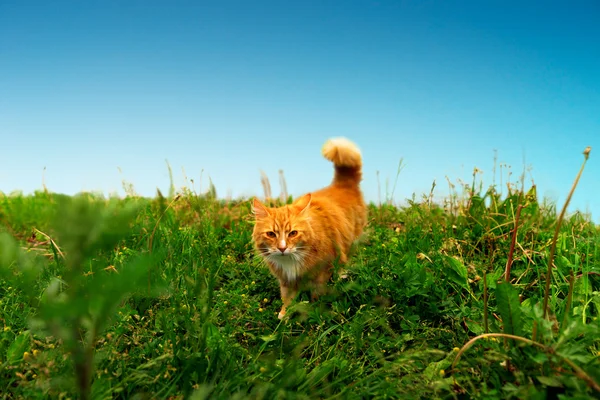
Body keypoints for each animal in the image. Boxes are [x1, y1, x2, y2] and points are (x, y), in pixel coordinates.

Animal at [252, 138, 368, 318]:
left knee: (344, 262)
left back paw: (341, 276)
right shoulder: (286, 280)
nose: (282, 248)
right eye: (271, 234)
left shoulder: (322, 273)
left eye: (293, 233)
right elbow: (287, 299)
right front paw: (284, 315)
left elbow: (316, 295)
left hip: (349, 244)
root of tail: (342, 185)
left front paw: (315, 312)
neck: (291, 260)